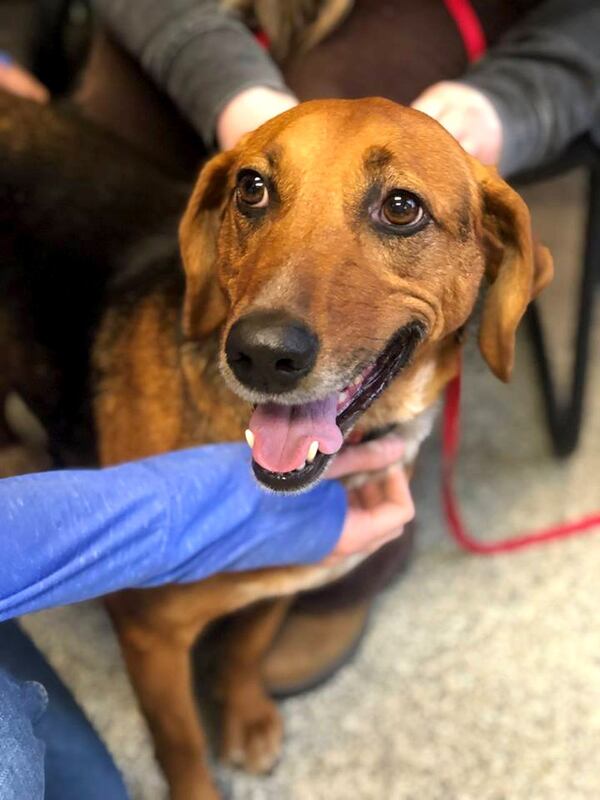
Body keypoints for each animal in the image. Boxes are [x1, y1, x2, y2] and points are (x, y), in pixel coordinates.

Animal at [0, 95, 552, 800]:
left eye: (402, 208)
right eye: (252, 189)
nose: (260, 354)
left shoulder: (288, 579)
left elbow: (246, 650)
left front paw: (244, 716)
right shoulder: (149, 635)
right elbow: (181, 743)